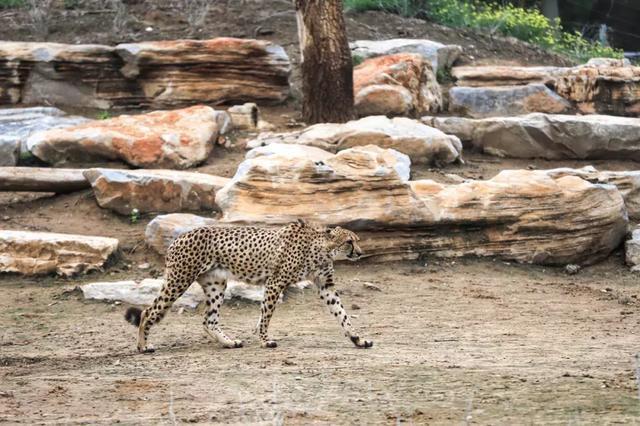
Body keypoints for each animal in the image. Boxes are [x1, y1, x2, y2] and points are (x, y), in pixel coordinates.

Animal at [125, 218, 372, 352]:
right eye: (349, 242)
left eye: (357, 241)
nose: (360, 253)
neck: (321, 249)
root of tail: (180, 236)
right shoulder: (275, 282)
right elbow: (266, 315)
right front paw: (264, 340)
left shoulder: (326, 286)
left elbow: (343, 315)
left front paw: (357, 339)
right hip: (179, 280)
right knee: (148, 311)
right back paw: (143, 346)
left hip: (216, 283)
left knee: (209, 320)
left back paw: (229, 342)